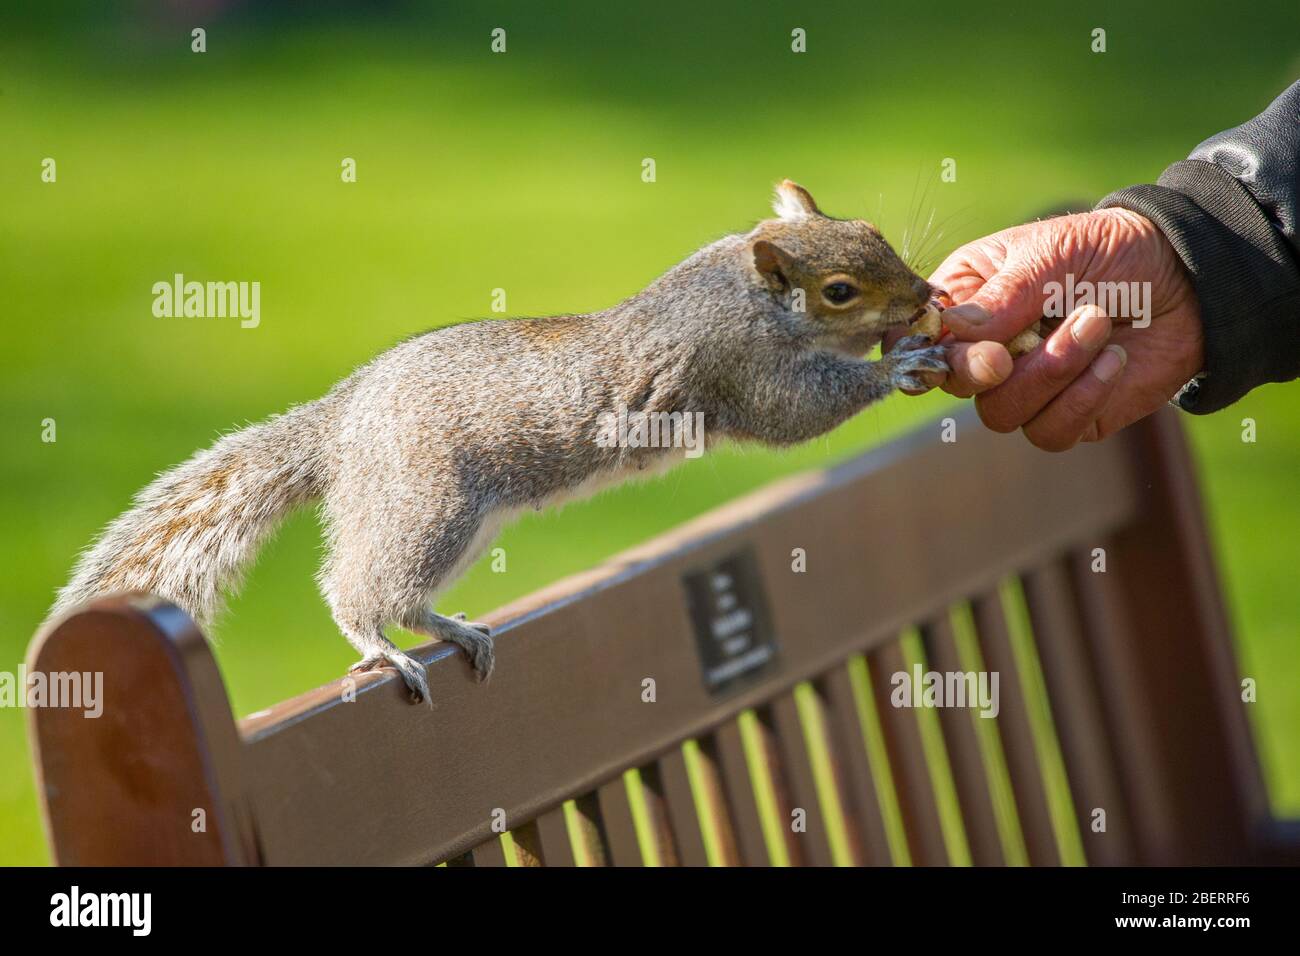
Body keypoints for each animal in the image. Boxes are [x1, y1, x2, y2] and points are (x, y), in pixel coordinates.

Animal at [50, 180, 951, 702]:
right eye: (840, 290)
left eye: (872, 229)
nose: (924, 295)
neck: (744, 296)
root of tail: (342, 425)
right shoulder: (740, 367)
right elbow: (796, 413)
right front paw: (903, 362)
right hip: (431, 505)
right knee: (361, 590)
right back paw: (382, 646)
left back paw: (451, 631)